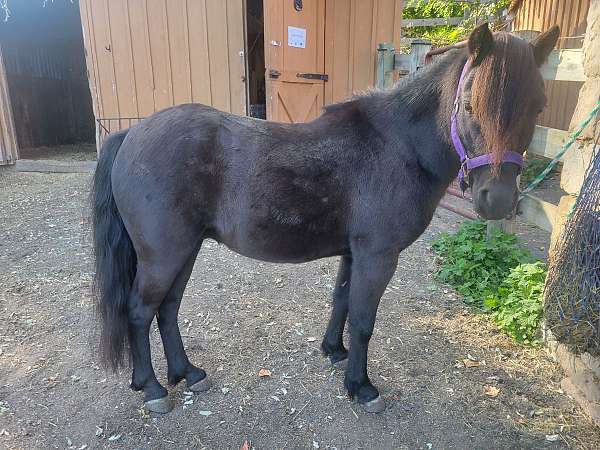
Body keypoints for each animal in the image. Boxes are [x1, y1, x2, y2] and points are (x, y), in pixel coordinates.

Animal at [92, 22, 556, 414]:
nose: (497, 200)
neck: (398, 146)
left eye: (538, 107)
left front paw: (335, 352)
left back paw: (187, 374)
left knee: (167, 309)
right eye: (470, 105)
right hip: (164, 255)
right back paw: (153, 388)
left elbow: (342, 302)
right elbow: (364, 320)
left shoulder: (354, 254)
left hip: (184, 251)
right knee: (140, 311)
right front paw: (362, 387)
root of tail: (130, 134)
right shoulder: (378, 257)